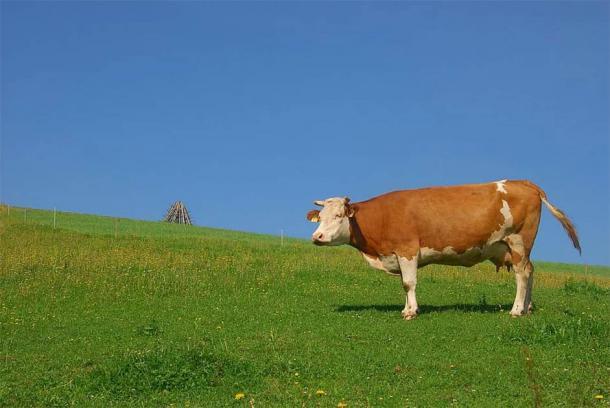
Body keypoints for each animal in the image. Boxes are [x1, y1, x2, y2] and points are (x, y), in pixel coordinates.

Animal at [304, 181, 580, 318]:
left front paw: (411, 312)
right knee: (531, 272)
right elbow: (405, 283)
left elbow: (409, 283)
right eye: (320, 218)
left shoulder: (407, 249)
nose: (317, 237)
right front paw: (407, 308)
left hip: (519, 241)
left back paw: (516, 310)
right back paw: (528, 308)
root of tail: (524, 183)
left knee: (522, 275)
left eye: (339, 215)